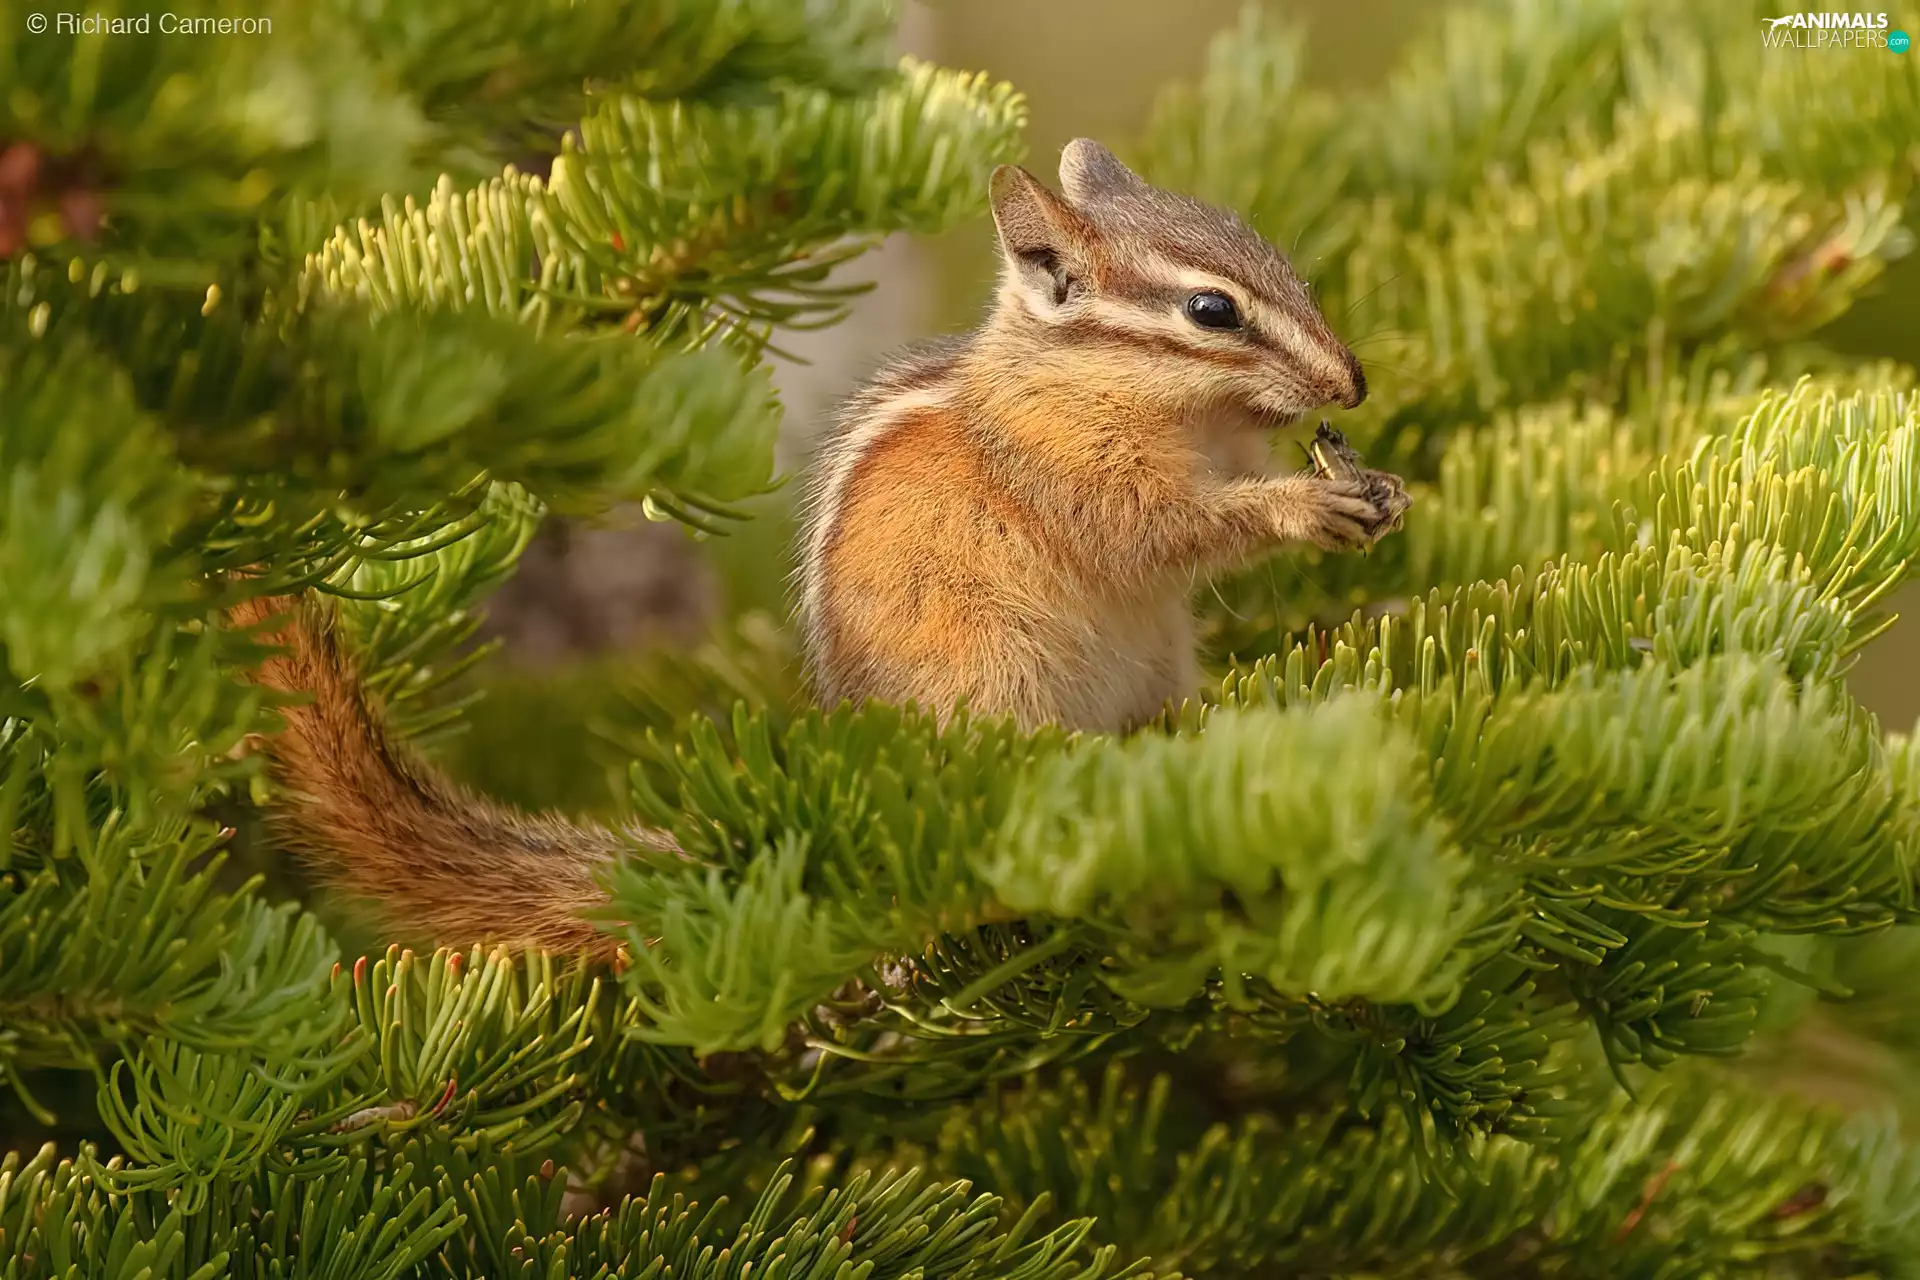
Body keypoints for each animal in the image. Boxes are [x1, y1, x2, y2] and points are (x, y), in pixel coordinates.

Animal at [231, 139, 1406, 958]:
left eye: (1285, 264)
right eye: (1212, 309)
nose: (1351, 381)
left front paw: (1376, 483)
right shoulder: (1071, 472)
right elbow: (1161, 530)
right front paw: (1303, 506)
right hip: (998, 674)